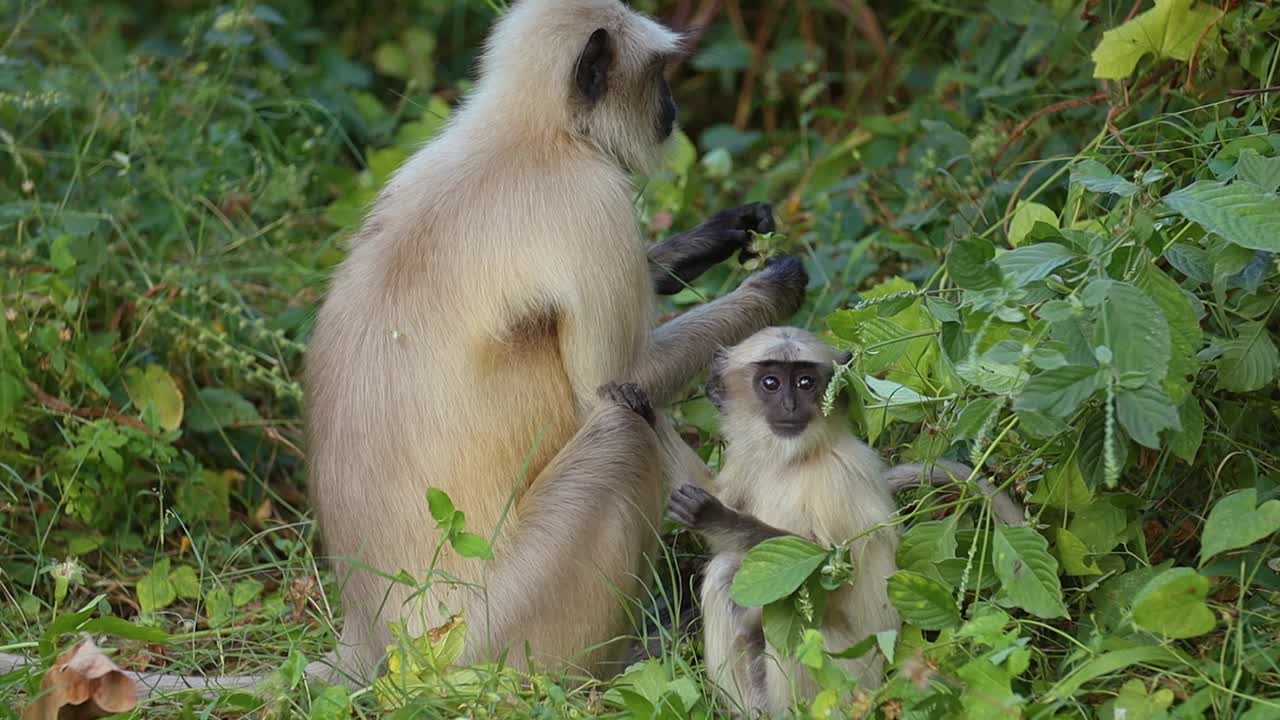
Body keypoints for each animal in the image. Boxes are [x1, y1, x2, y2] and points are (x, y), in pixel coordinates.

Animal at [667, 327, 1024, 716]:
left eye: (806, 382)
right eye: (771, 383)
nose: (790, 405)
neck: (793, 459)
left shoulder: (837, 476)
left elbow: (829, 572)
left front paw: (713, 514)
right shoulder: (747, 457)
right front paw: (644, 412)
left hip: (849, 681)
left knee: (793, 613)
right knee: (724, 573)